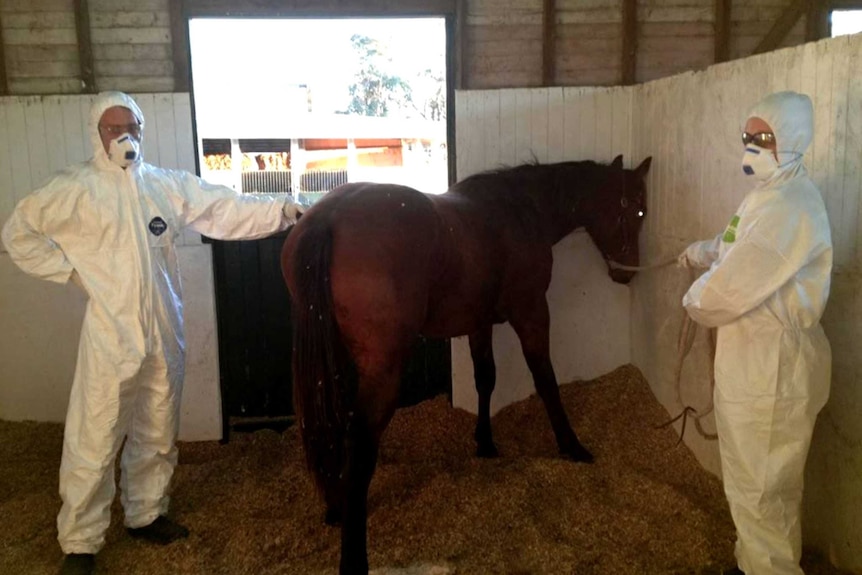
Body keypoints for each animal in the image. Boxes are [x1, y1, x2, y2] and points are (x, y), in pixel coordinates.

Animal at [284, 154, 656, 575]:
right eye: (638, 209)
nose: (627, 272)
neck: (520, 209)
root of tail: (327, 217)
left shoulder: (479, 324)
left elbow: (486, 378)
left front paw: (485, 442)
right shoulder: (531, 313)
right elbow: (546, 380)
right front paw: (571, 445)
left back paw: (335, 506)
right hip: (382, 370)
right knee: (360, 446)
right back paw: (353, 556)